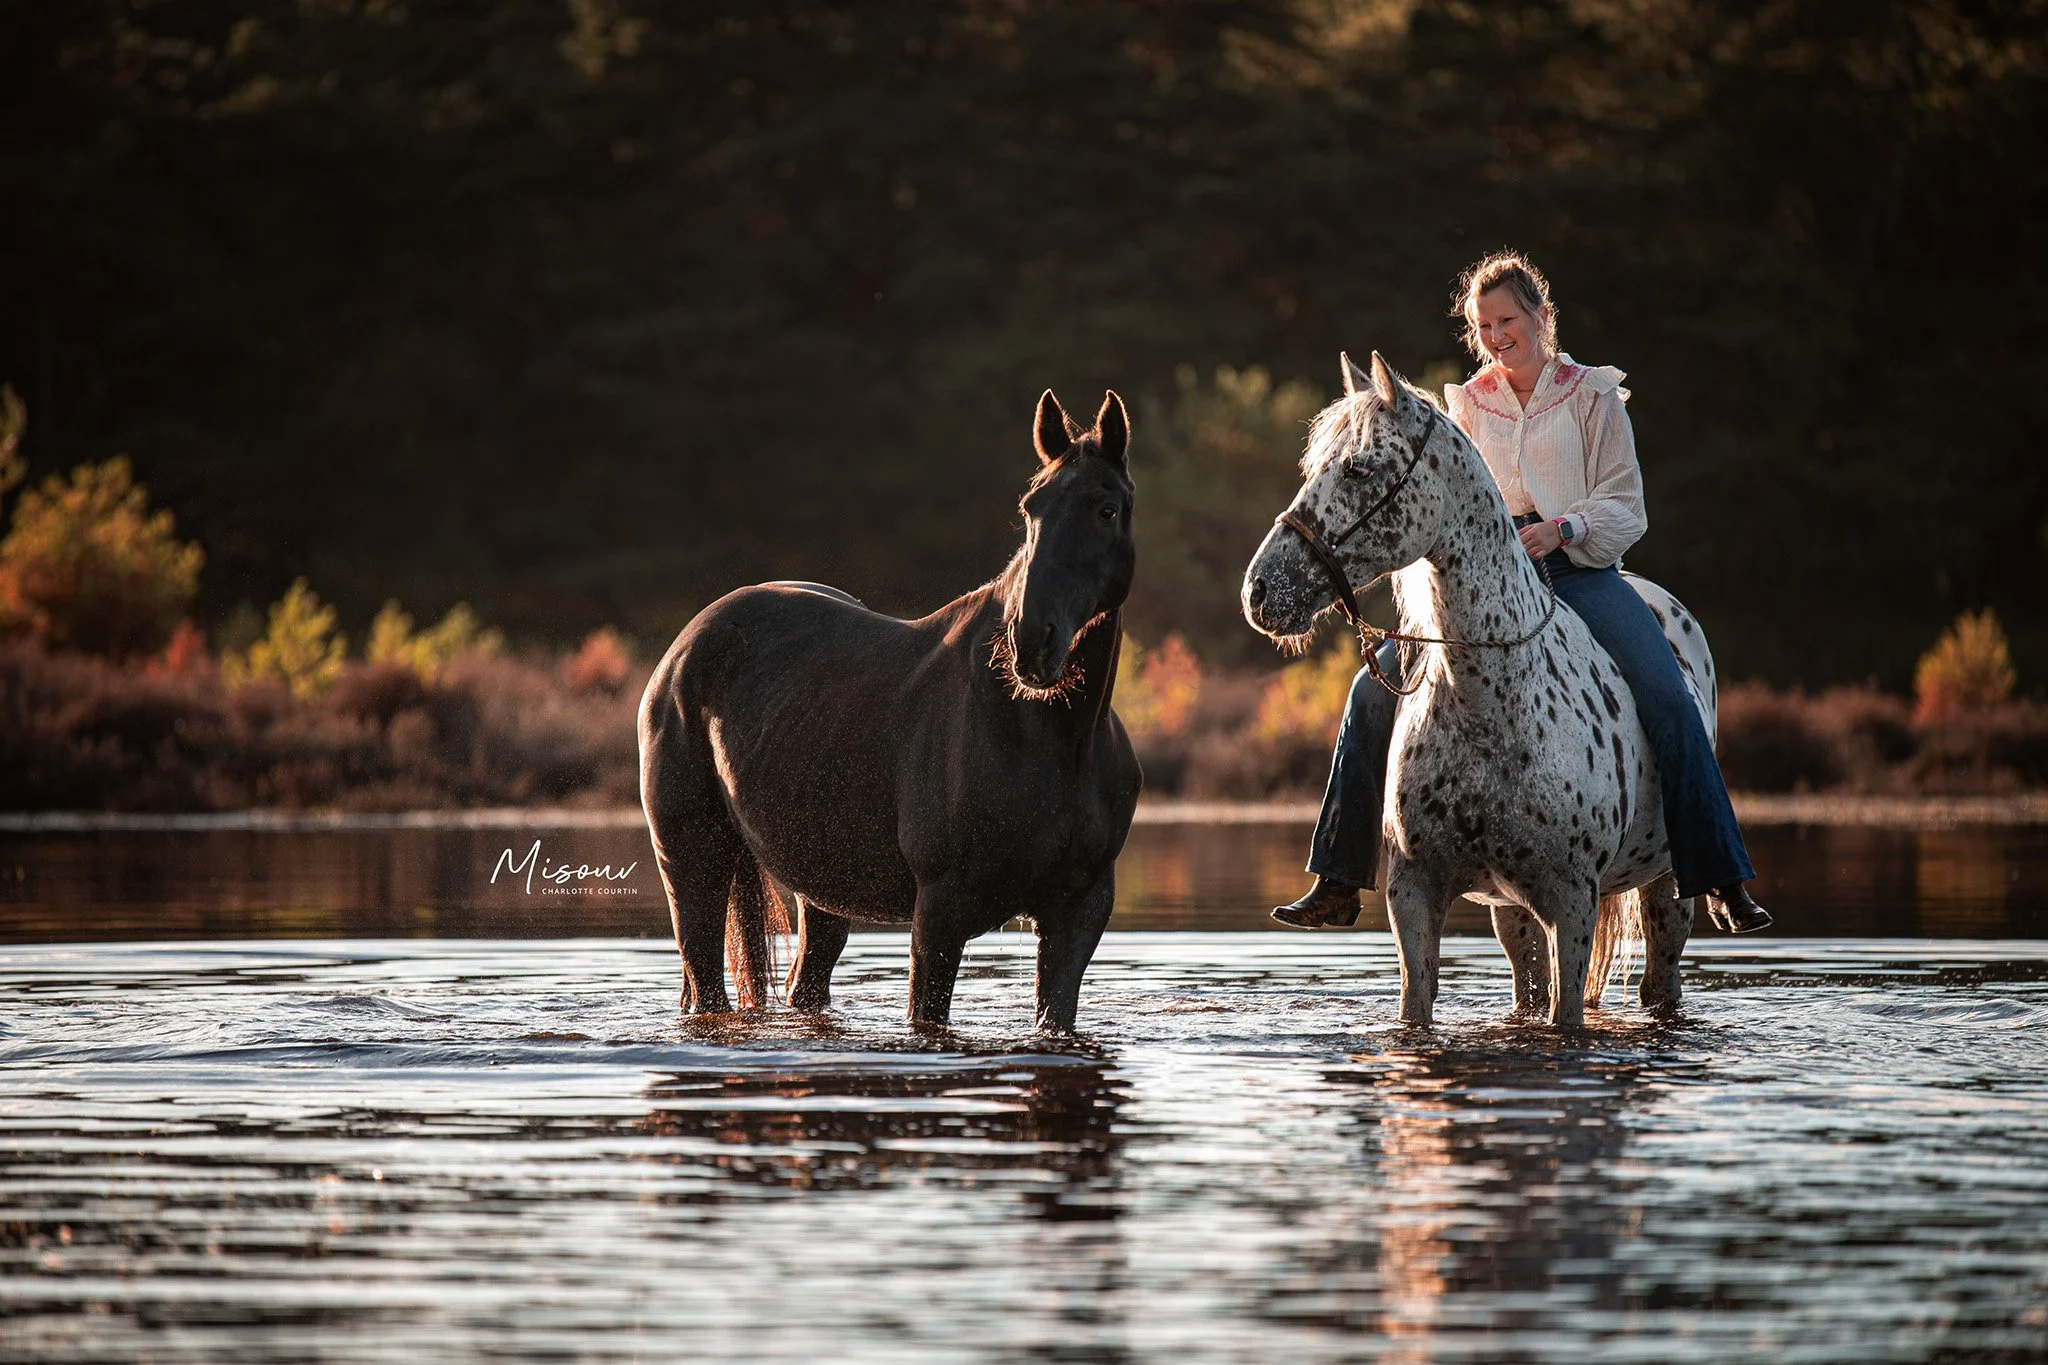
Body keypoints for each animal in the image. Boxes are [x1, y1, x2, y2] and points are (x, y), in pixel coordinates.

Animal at [637, 390, 1142, 1032]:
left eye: (1106, 509)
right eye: (1031, 508)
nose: (1029, 642)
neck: (1051, 740)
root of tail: (684, 648)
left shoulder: (1077, 915)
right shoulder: (940, 917)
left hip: (820, 890)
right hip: (692, 868)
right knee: (705, 981)